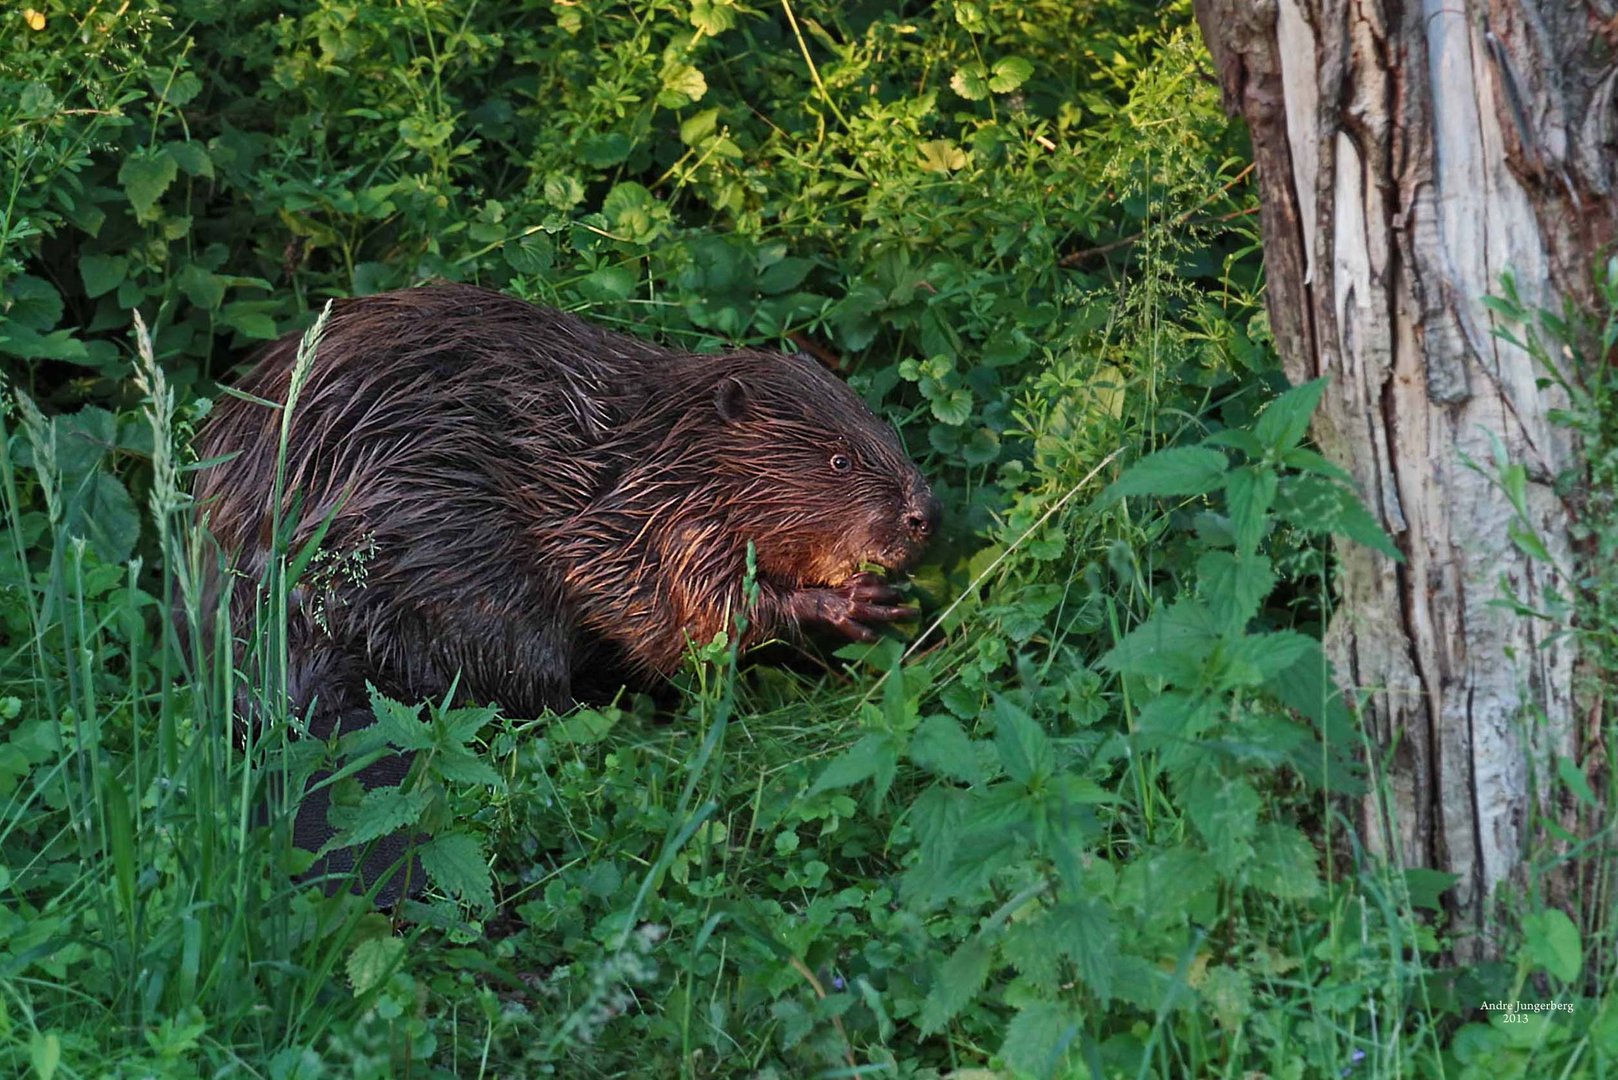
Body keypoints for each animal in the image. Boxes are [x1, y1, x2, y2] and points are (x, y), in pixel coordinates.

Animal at [195, 283, 944, 900]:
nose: (924, 515)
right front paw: (860, 604)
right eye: (839, 461)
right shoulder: (663, 526)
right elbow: (698, 619)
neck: (660, 450)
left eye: (881, 429)